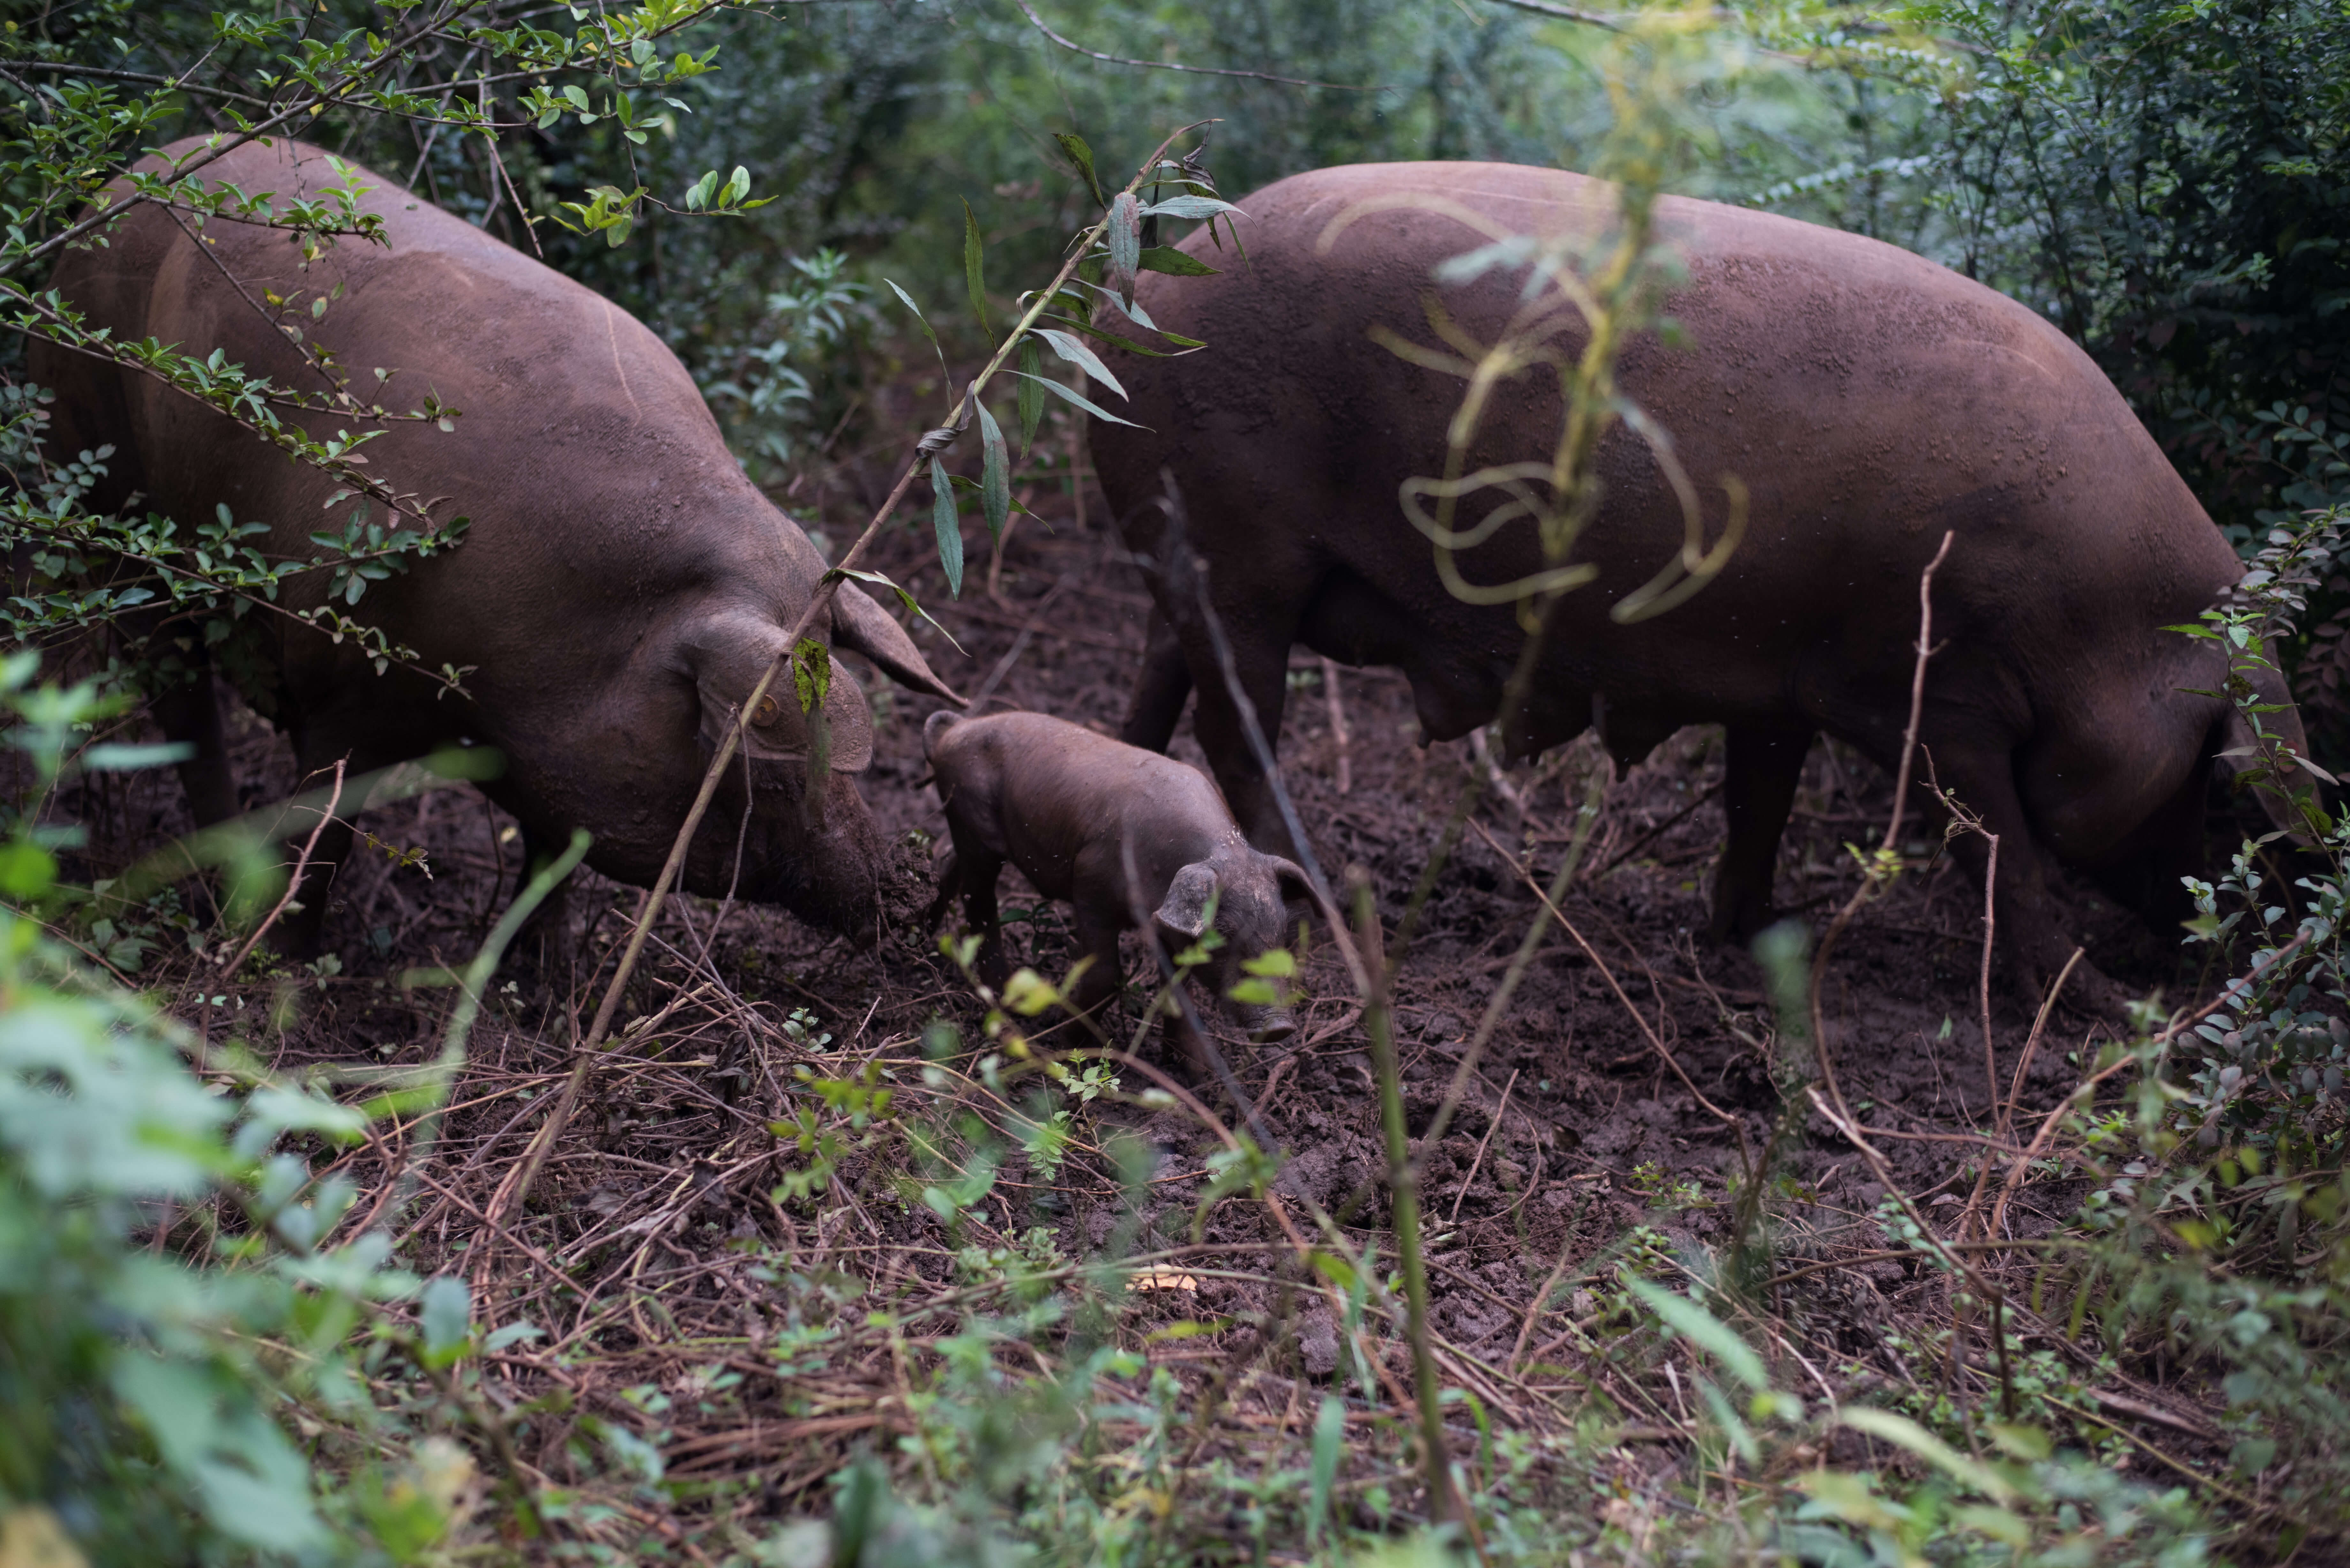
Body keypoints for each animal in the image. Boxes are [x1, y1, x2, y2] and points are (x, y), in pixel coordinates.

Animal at [32, 138, 959, 945]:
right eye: (769, 761)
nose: (896, 894)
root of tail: (131, 175)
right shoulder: (339, 677)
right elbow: (320, 839)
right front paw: (276, 962)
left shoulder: (562, 766)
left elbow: (549, 870)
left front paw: (538, 987)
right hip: (102, 474)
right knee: (180, 694)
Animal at [921, 710, 1325, 1044]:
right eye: (1222, 936)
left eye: (1281, 932)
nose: (1280, 1027)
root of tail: (954, 730)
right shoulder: (1089, 885)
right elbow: (1106, 974)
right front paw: (1066, 1046)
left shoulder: (1169, 921)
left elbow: (1178, 989)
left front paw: (1196, 1076)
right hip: (973, 820)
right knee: (980, 899)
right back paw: (1007, 998)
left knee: (949, 868)